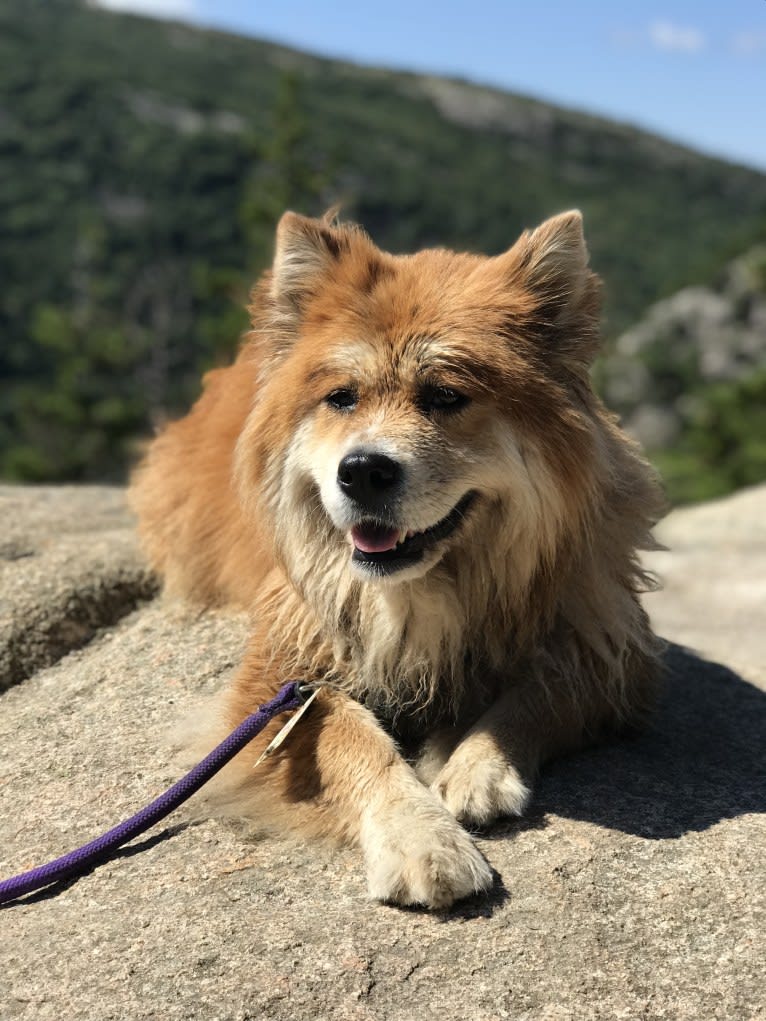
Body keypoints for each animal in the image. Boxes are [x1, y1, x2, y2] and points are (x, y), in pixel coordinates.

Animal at [131, 209, 665, 910]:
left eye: (445, 396)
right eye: (342, 398)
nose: (362, 471)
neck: (421, 589)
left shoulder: (605, 646)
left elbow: (540, 691)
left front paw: (475, 763)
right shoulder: (278, 682)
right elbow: (348, 732)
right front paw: (420, 839)